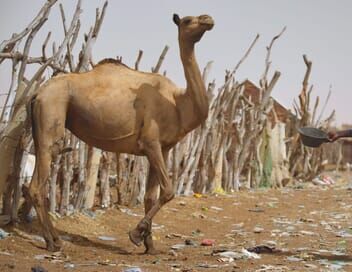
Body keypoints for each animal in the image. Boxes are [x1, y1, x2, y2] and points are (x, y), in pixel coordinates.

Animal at [24, 13, 214, 254]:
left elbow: (150, 196)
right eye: (188, 20)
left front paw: (150, 247)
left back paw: (54, 239)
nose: (208, 19)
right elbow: (168, 191)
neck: (177, 102)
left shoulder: (163, 148)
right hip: (51, 111)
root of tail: (37, 93)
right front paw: (136, 234)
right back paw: (52, 242)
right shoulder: (150, 143)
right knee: (38, 182)